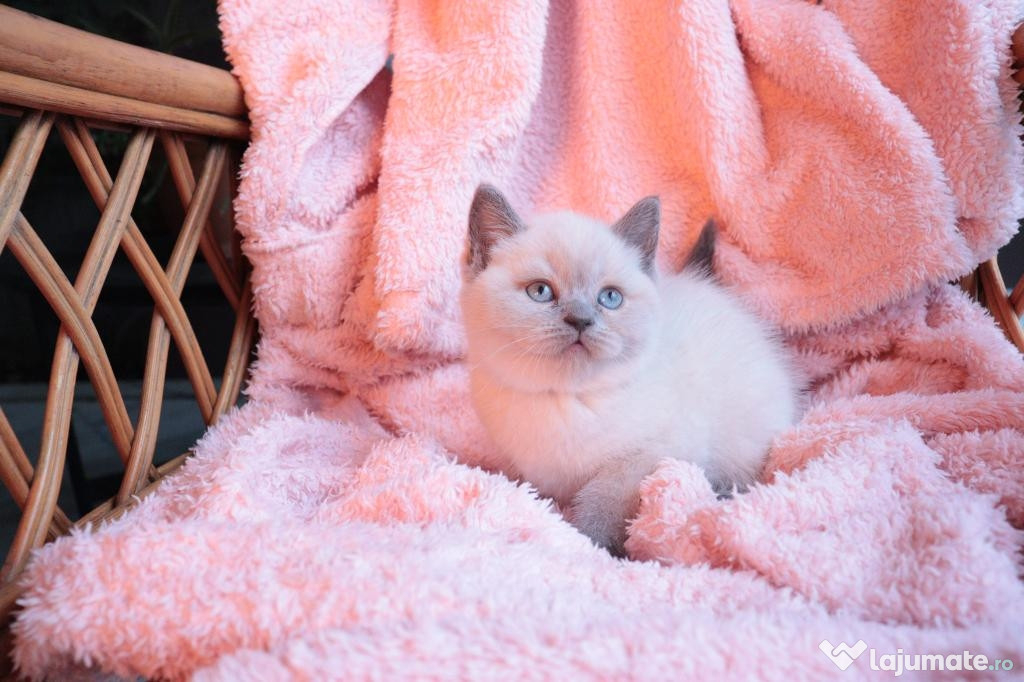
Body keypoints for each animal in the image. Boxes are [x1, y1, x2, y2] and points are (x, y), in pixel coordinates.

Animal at [458, 184, 798, 552]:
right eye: (541, 291)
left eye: (610, 298)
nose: (581, 320)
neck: (568, 400)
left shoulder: (652, 455)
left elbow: (603, 501)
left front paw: (593, 545)